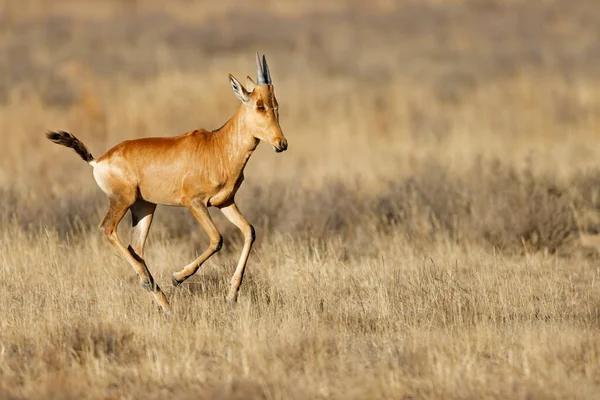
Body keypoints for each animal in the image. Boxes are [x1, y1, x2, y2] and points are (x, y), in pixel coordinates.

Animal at [46, 54, 288, 316]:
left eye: (276, 104)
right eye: (259, 105)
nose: (281, 144)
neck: (217, 145)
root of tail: (98, 159)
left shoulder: (225, 202)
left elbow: (249, 231)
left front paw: (231, 295)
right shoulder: (194, 203)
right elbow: (217, 239)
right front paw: (178, 277)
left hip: (144, 207)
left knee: (135, 248)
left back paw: (165, 304)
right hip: (123, 201)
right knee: (107, 229)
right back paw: (149, 282)